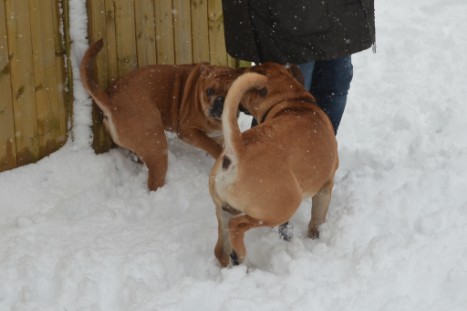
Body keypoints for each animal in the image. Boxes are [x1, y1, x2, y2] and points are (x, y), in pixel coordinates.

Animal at [80, 39, 249, 190]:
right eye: (209, 91)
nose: (221, 100)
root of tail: (110, 99)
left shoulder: (218, 134)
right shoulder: (188, 131)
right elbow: (212, 146)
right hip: (156, 144)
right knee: (154, 181)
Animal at [210, 64, 338, 268]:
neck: (291, 100)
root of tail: (237, 152)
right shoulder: (325, 186)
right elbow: (317, 219)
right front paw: (314, 238)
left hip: (224, 209)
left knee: (220, 249)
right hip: (282, 206)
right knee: (237, 226)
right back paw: (241, 256)